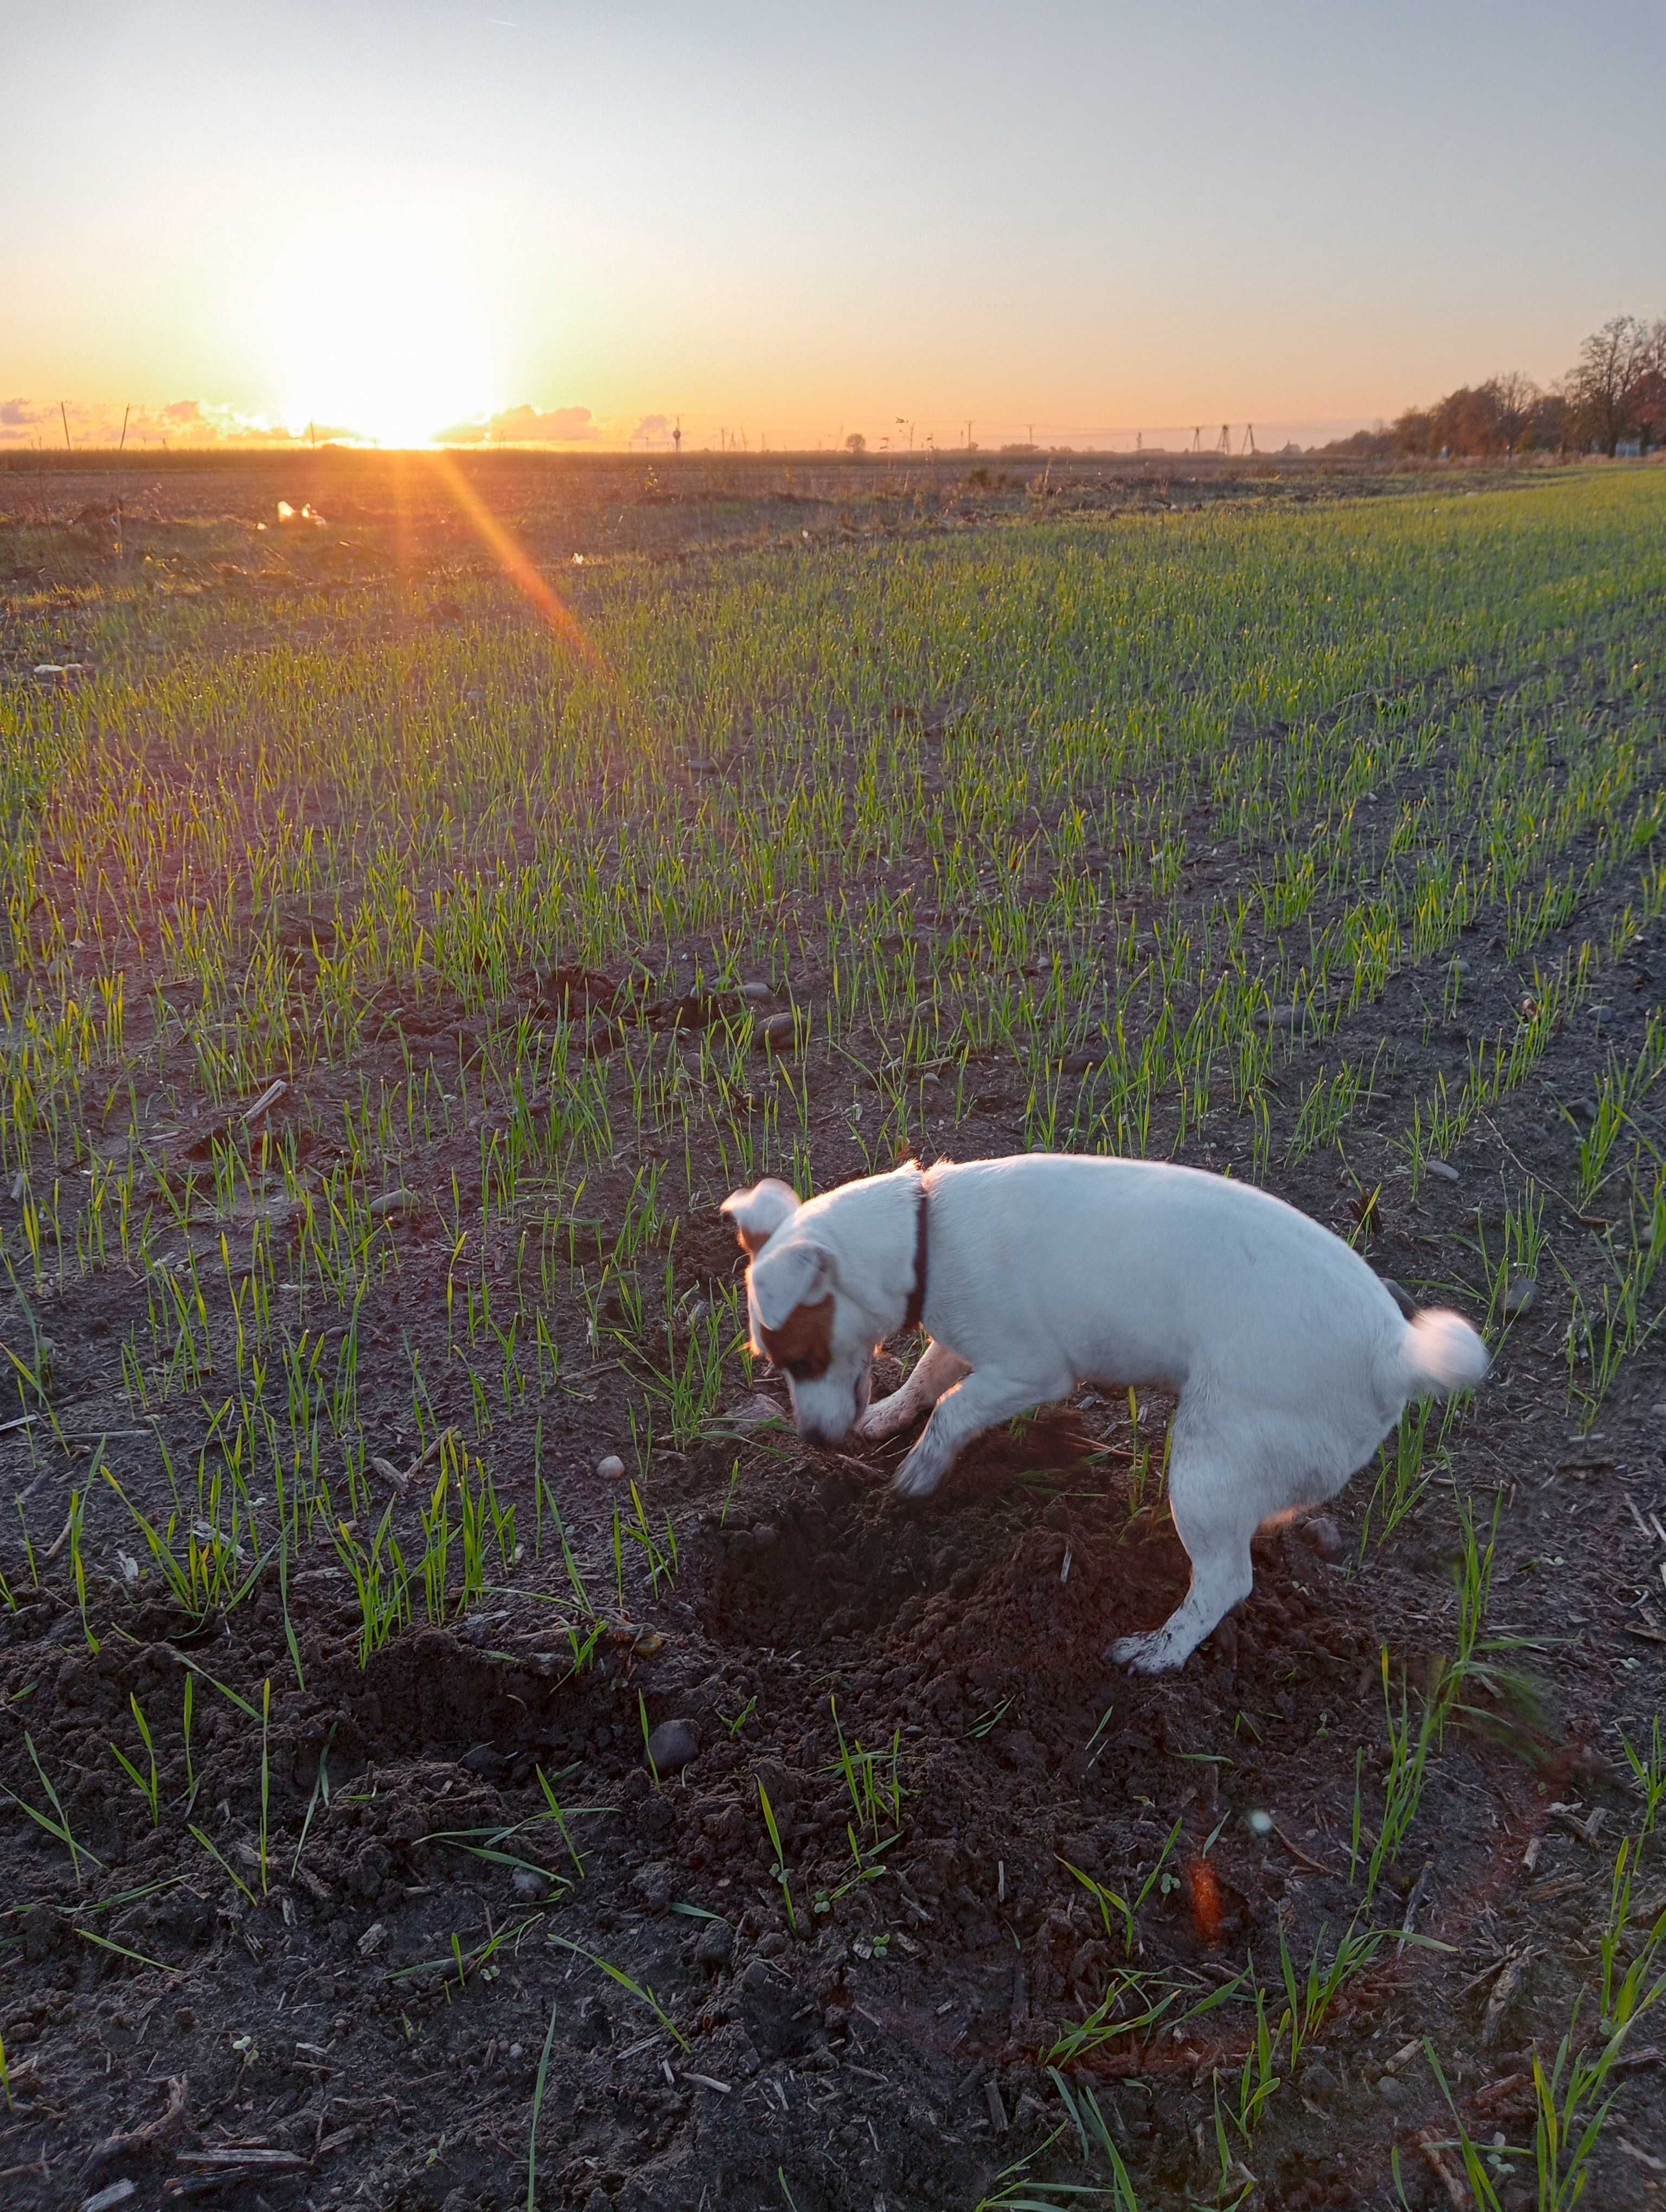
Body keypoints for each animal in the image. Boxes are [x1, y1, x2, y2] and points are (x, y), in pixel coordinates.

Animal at [721, 1159, 1486, 1672]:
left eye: (802, 1355)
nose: (815, 1441)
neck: (922, 1231)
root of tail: (1395, 1355)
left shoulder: (1031, 1370)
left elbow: (951, 1411)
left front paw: (917, 1475)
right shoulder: (964, 1342)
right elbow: (925, 1378)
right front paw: (888, 1417)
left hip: (1208, 1462)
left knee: (1225, 1580)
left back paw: (1161, 1650)